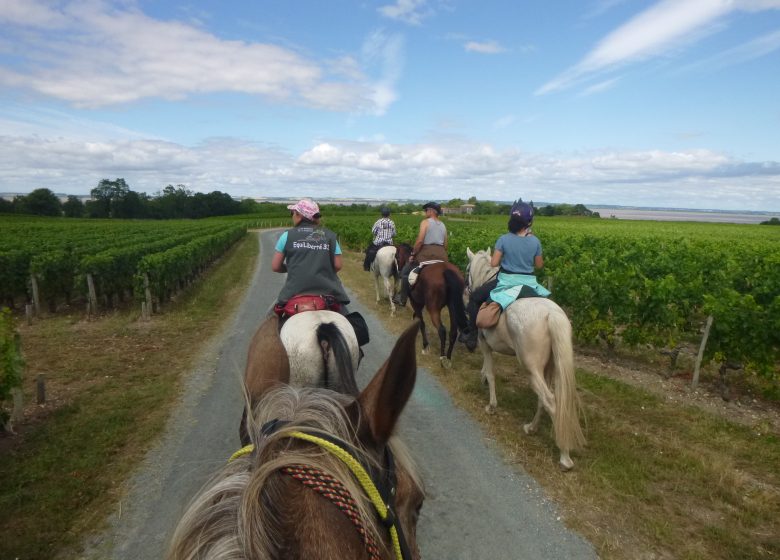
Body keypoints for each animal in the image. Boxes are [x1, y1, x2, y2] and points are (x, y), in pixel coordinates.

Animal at [464, 247, 584, 470]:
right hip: (549, 368)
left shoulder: (485, 345)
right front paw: (483, 380)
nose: (466, 289)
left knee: (549, 400)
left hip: (531, 367)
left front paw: (491, 405)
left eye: (468, 269)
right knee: (544, 399)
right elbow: (487, 371)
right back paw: (531, 428)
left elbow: (491, 373)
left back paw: (564, 455)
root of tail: (550, 314)